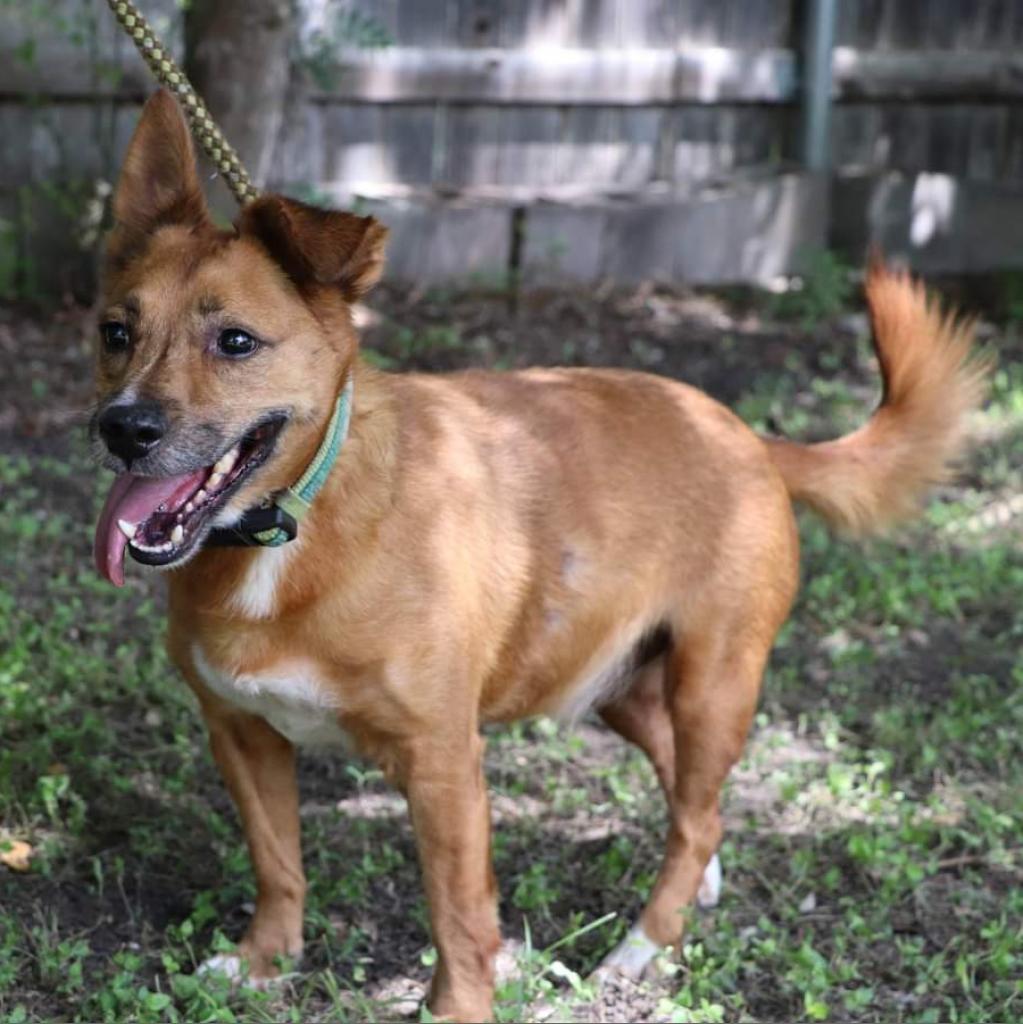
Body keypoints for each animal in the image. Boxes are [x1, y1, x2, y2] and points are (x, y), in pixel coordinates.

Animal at [94, 92, 991, 1019]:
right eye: (115, 332)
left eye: (235, 342)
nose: (121, 429)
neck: (301, 522)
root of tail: (749, 436)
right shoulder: (242, 734)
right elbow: (278, 865)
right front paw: (266, 961)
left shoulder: (442, 763)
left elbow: (458, 914)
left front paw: (457, 1007)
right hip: (616, 683)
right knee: (687, 793)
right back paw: (694, 891)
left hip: (712, 682)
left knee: (696, 813)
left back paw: (640, 949)